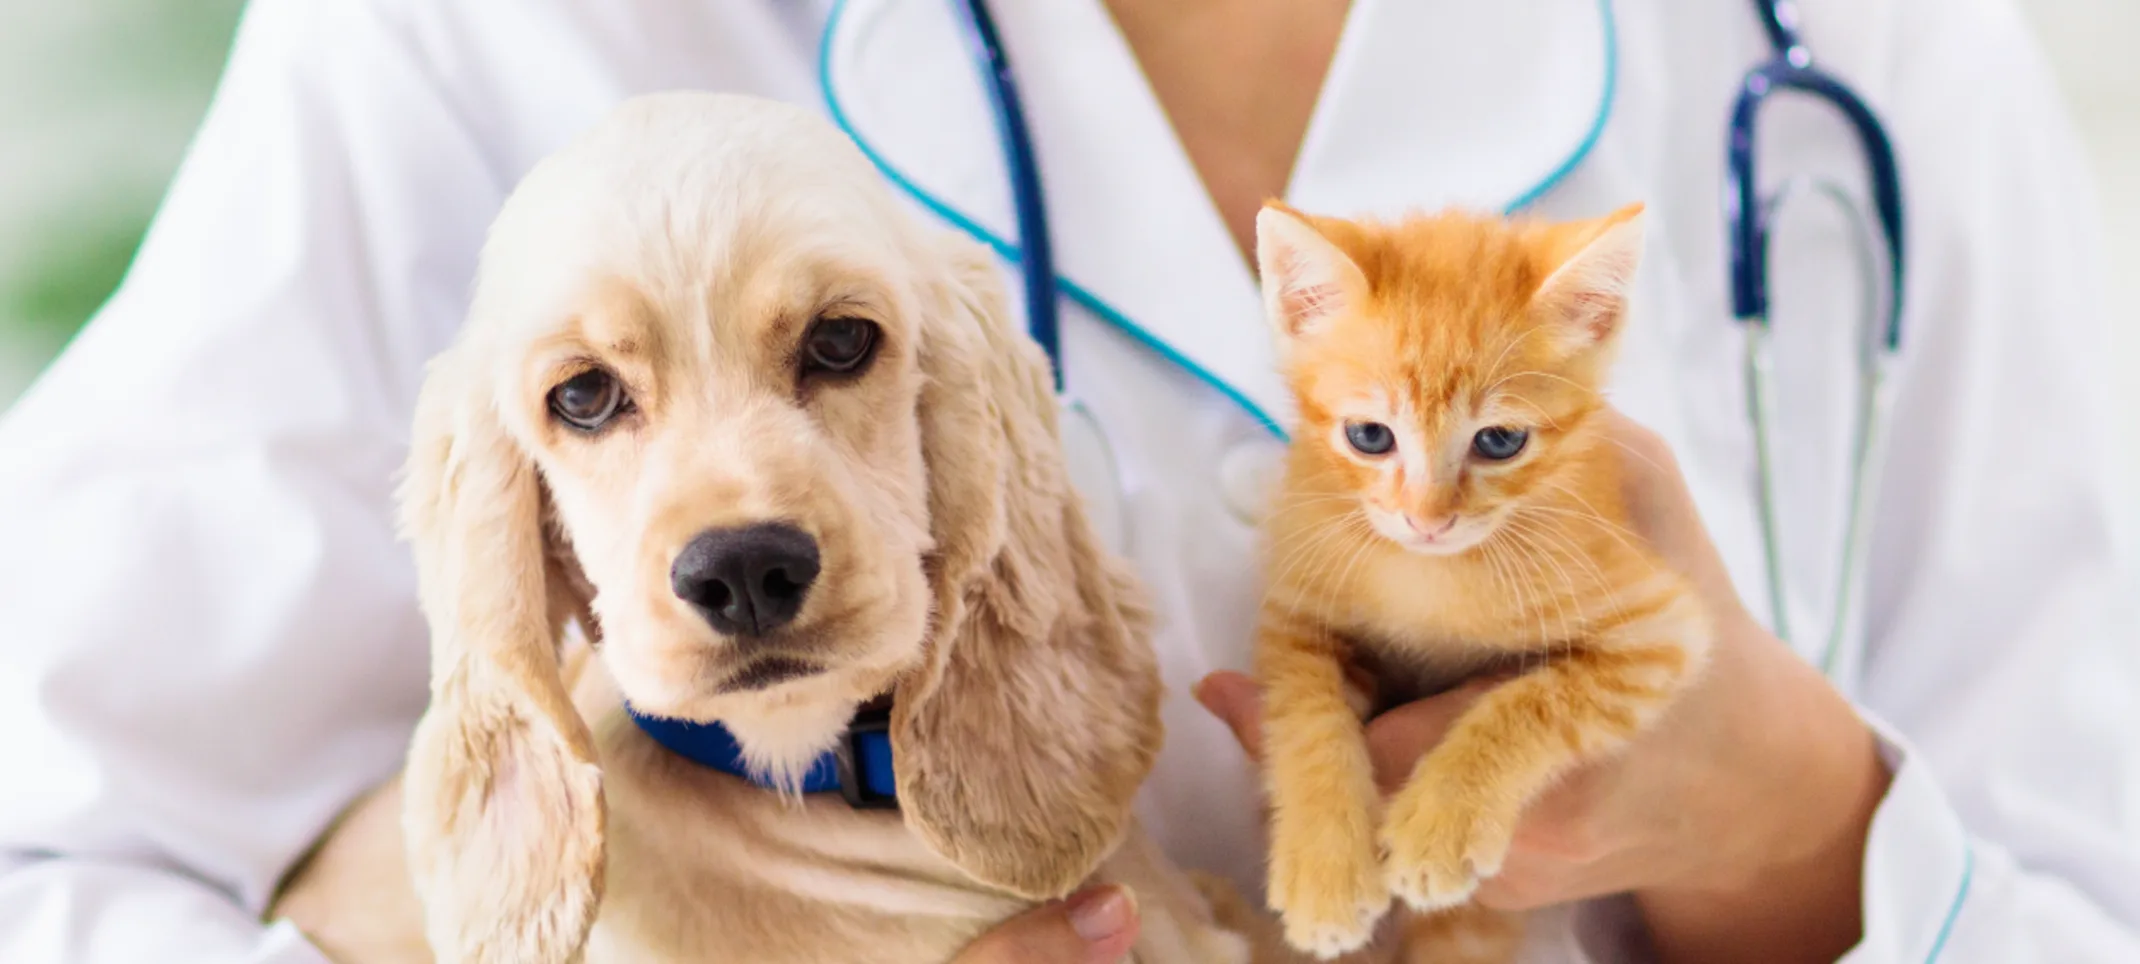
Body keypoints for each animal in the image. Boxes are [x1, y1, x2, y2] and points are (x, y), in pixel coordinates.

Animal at [1249, 201, 1712, 955]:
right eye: (1369, 436)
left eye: (1499, 441)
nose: (1428, 520)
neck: (1430, 572)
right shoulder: (1295, 612)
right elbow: (1306, 719)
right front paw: (1326, 871)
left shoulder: (1662, 631)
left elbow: (1531, 704)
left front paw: (1444, 824)